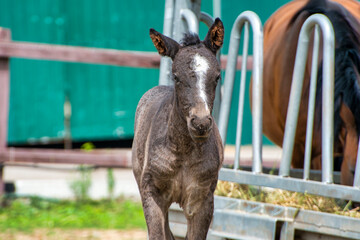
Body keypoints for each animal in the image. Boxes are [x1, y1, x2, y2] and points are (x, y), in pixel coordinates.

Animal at [131, 17, 224, 239]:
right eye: (176, 77)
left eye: (217, 76)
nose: (200, 123)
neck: (183, 151)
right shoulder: (151, 192)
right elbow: (158, 234)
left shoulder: (202, 198)